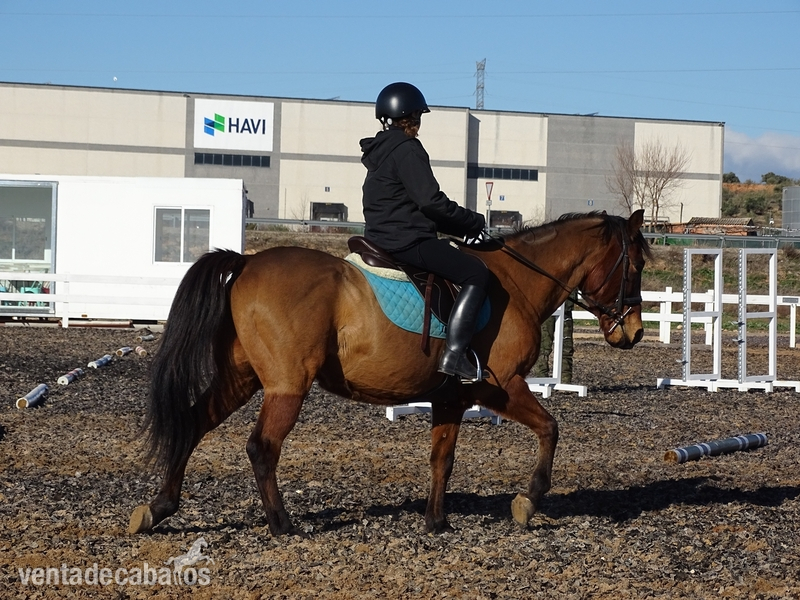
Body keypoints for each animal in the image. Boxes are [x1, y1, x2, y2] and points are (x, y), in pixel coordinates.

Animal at [129, 209, 649, 536]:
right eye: (637, 264)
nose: (635, 332)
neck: (517, 283)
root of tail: (246, 263)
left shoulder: (451, 397)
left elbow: (442, 458)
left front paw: (436, 522)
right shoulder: (500, 386)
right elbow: (550, 428)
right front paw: (529, 500)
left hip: (242, 378)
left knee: (194, 422)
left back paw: (158, 508)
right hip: (285, 387)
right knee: (262, 447)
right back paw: (281, 525)